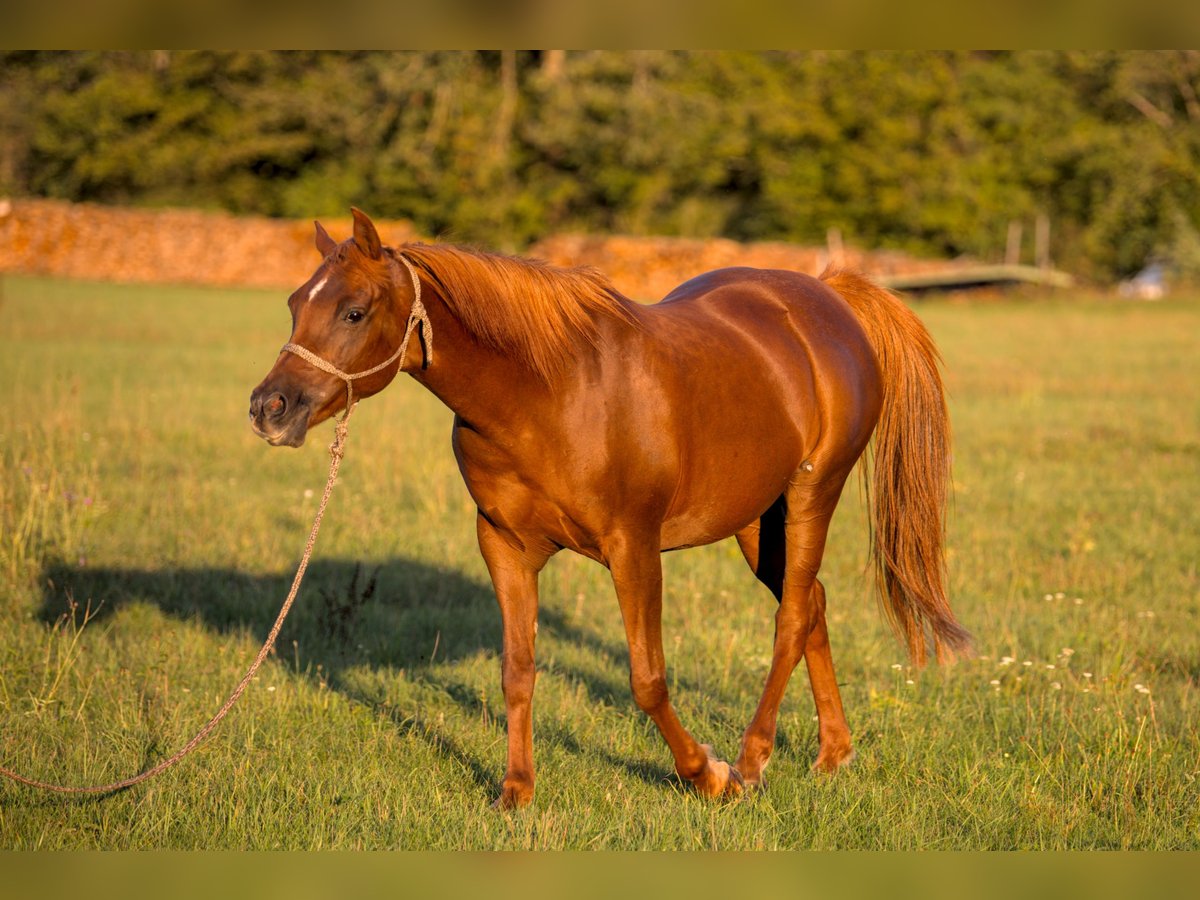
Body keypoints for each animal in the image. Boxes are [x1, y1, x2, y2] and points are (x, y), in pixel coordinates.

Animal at [248, 211, 969, 811]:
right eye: (294, 303)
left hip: (811, 496)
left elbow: (647, 679)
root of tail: (829, 299)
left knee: (791, 617)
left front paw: (708, 776)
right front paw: (516, 791)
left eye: (353, 311)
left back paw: (753, 759)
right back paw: (833, 753)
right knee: (811, 602)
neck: (548, 394)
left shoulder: (633, 547)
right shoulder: (503, 544)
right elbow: (517, 670)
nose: (269, 408)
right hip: (753, 521)